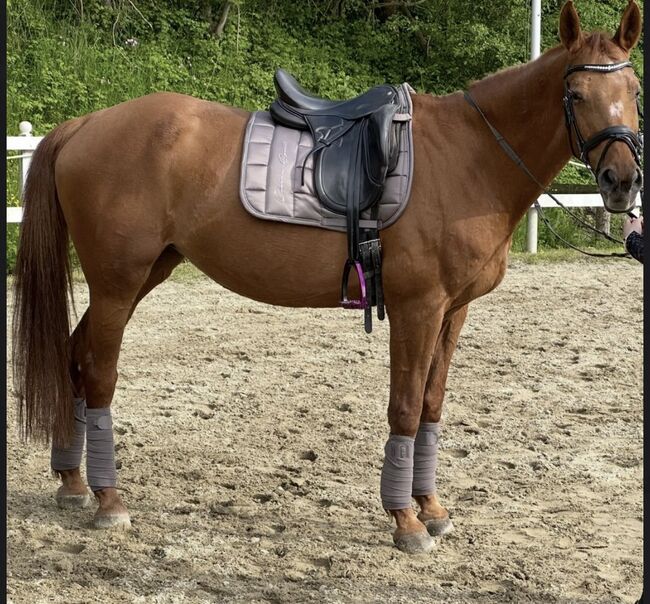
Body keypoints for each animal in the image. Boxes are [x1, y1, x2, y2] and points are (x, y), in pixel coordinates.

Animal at [12, 0, 642, 553]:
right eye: (576, 94)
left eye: (634, 91)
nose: (622, 182)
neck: (470, 156)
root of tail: (85, 124)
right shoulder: (418, 307)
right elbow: (405, 406)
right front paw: (405, 520)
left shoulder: (454, 310)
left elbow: (432, 404)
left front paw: (432, 507)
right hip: (117, 284)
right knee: (97, 372)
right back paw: (108, 498)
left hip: (144, 275)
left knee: (73, 356)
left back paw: (73, 484)